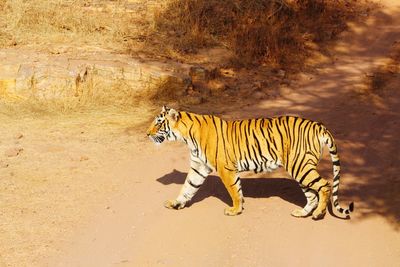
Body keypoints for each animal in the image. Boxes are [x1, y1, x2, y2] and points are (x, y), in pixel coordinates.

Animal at [147, 105, 354, 221]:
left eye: (158, 123)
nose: (147, 134)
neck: (186, 137)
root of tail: (319, 125)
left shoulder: (225, 168)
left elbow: (233, 190)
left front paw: (235, 210)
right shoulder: (199, 167)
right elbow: (188, 187)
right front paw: (176, 203)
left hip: (300, 166)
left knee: (325, 186)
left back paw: (318, 214)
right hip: (301, 169)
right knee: (312, 195)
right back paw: (302, 213)